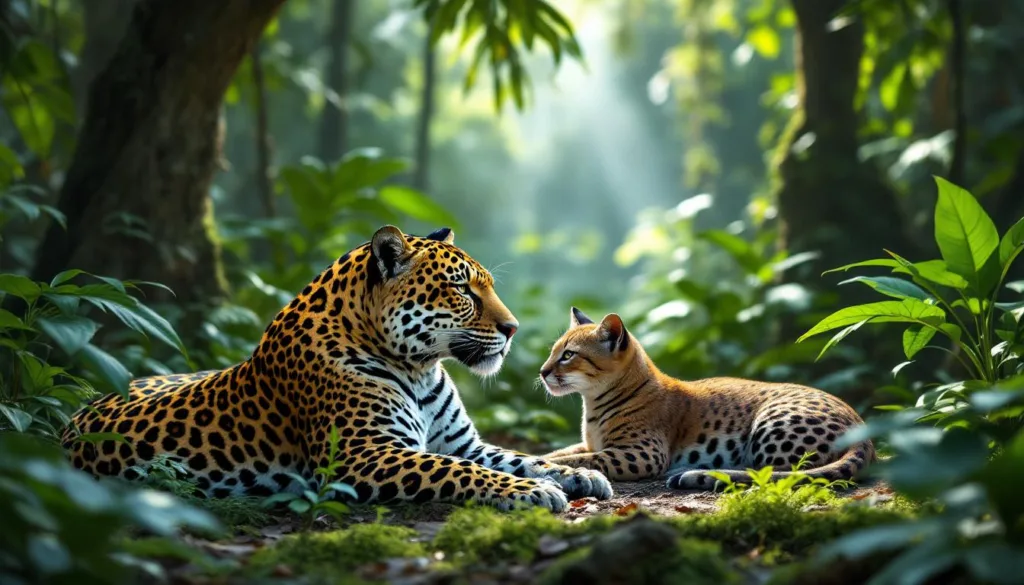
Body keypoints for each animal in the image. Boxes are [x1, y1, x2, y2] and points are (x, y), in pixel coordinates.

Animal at [62, 226, 613, 512]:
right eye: (462, 290)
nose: (513, 328)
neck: (420, 368)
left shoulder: (465, 443)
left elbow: (518, 456)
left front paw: (576, 476)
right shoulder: (362, 455)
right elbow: (458, 470)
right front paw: (531, 492)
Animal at [536, 307, 875, 490]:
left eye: (568, 355)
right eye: (554, 351)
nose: (542, 372)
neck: (592, 402)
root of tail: (863, 428)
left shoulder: (642, 453)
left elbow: (579, 459)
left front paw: (548, 466)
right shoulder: (592, 443)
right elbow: (563, 451)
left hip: (772, 423)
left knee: (774, 474)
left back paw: (691, 474)